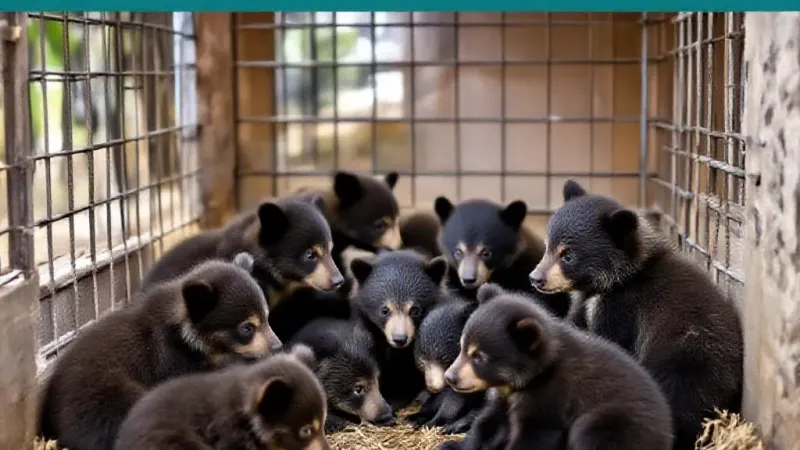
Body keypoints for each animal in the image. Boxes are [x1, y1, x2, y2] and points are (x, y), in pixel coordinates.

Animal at [38, 254, 283, 450]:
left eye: (266, 318)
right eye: (247, 328)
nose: (277, 346)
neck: (186, 329)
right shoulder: (172, 356)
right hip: (107, 400)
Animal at [409, 296, 483, 434]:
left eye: (444, 359)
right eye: (422, 361)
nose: (434, 387)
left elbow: (454, 400)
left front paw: (434, 422)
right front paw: (414, 417)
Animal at [437, 284, 673, 450]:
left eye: (479, 357)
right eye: (462, 347)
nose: (450, 377)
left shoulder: (550, 396)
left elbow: (536, 435)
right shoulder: (506, 396)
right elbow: (488, 422)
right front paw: (452, 445)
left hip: (617, 422)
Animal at [528, 179, 743, 450]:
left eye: (568, 255)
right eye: (548, 246)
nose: (536, 278)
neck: (620, 279)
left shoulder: (621, 309)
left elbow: (610, 340)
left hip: (678, 370)